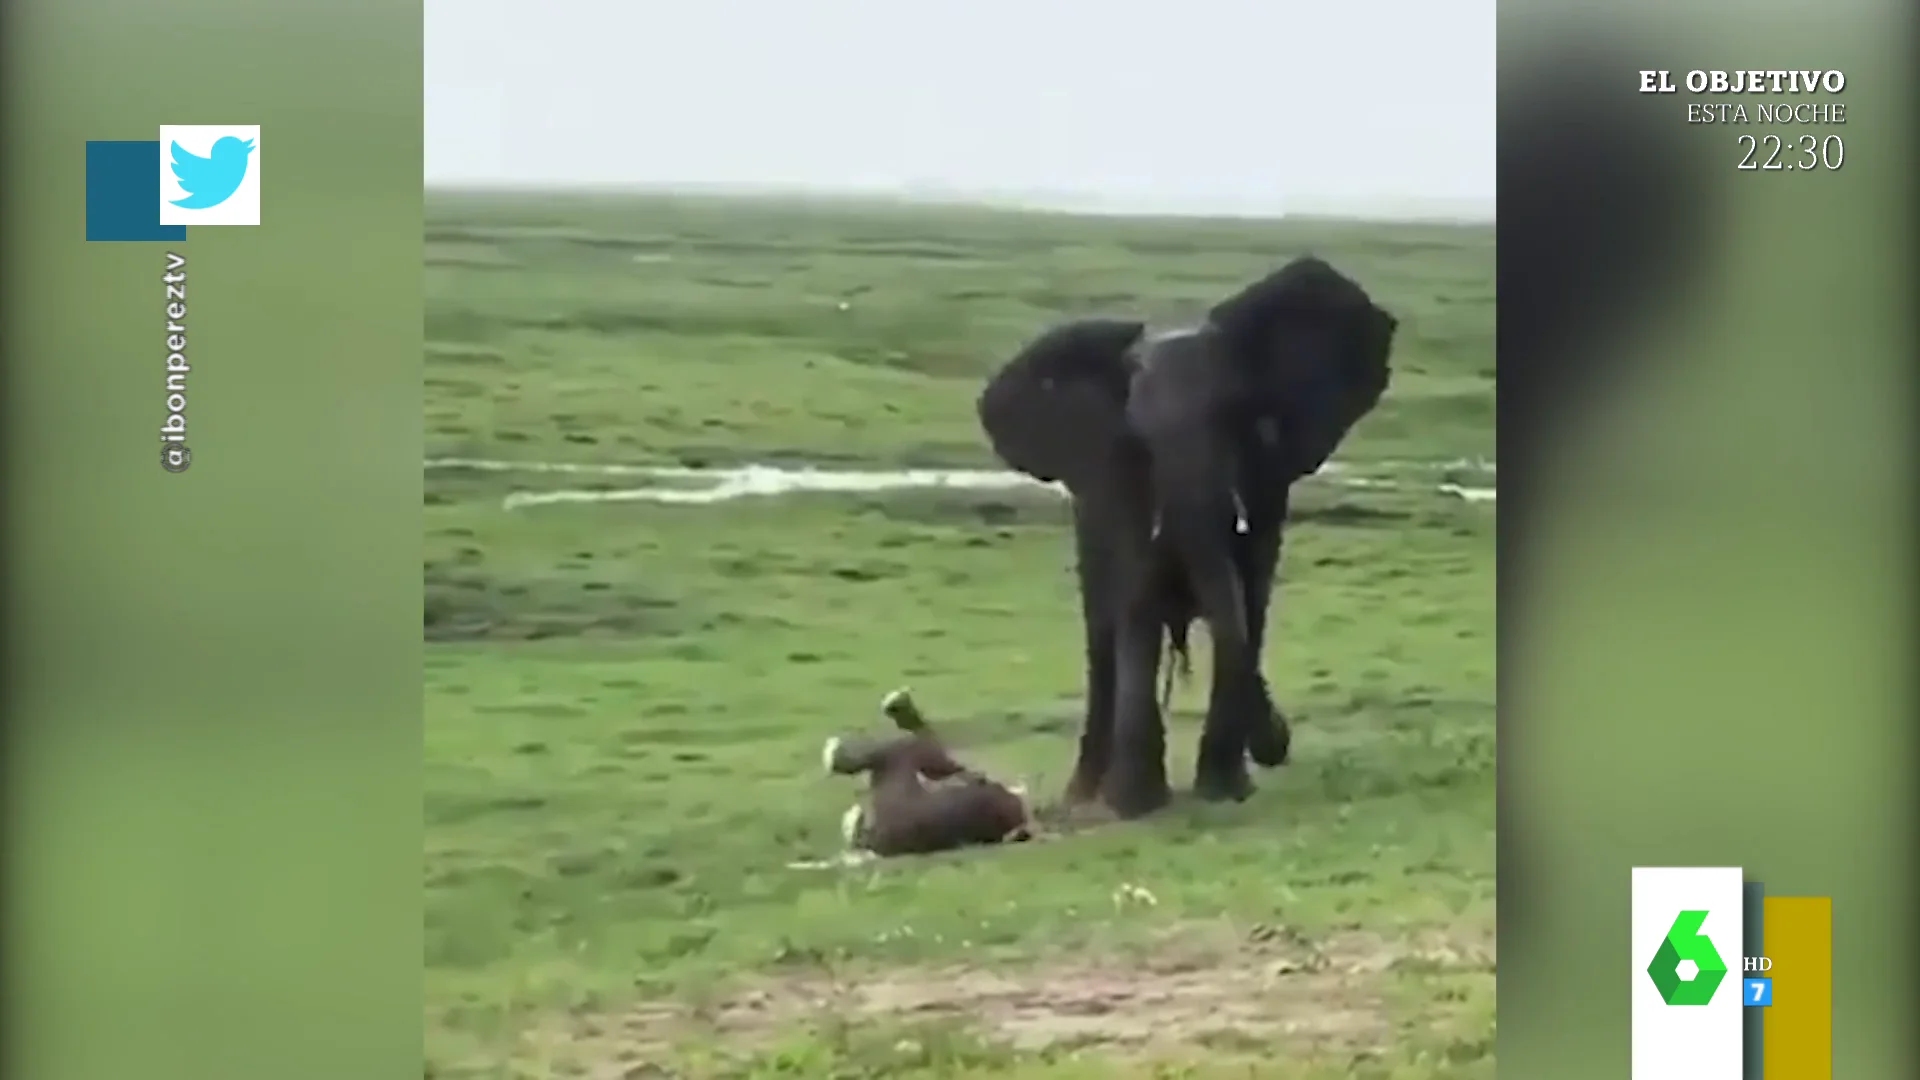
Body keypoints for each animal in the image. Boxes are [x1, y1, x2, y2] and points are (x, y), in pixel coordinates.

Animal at [975, 255, 1397, 814]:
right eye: (1138, 436)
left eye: (1232, 416)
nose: (1277, 743)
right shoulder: (1118, 480)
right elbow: (1138, 597)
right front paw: (1136, 805)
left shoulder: (1267, 476)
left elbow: (1249, 597)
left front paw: (1224, 792)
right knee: (1102, 639)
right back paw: (1083, 797)